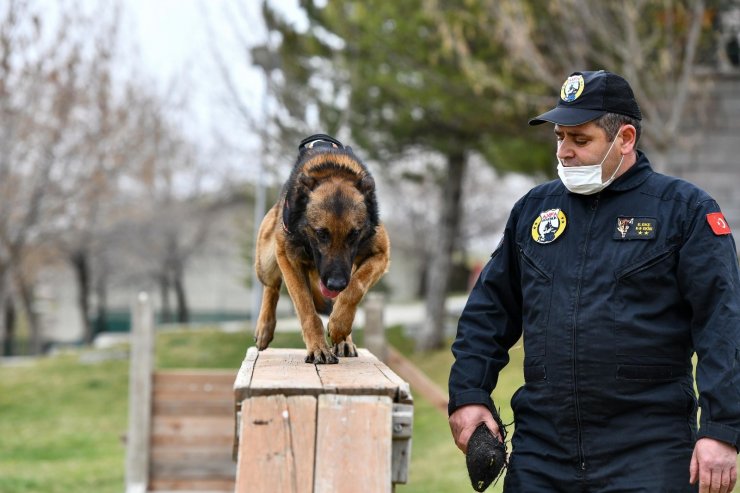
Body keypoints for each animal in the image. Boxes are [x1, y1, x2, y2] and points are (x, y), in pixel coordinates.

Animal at [254, 133, 390, 364]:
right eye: (321, 233)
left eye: (353, 234)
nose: (335, 284)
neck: (334, 170)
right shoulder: (288, 258)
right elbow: (306, 308)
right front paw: (318, 347)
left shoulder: (381, 254)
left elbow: (355, 287)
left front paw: (339, 326)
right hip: (266, 261)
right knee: (271, 287)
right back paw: (265, 328)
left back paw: (344, 340)